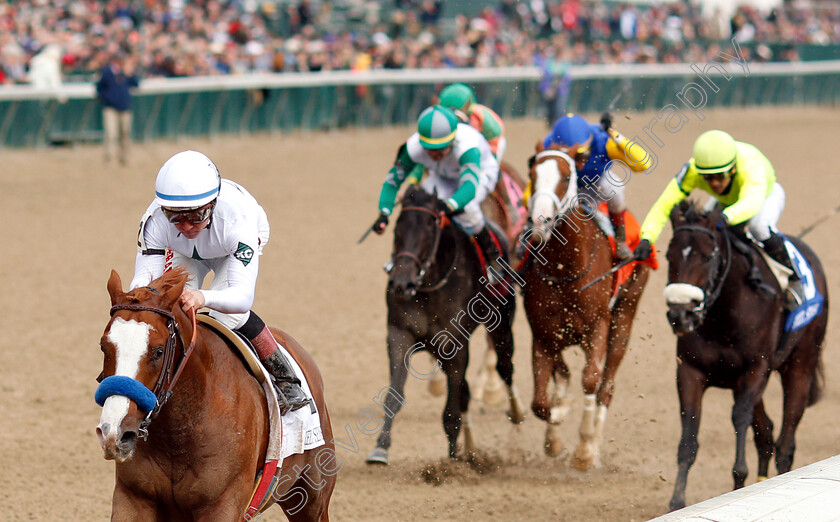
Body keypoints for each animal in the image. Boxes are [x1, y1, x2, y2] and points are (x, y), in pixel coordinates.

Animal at [96, 268, 338, 520]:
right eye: (103, 346)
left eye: (158, 351)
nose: (114, 433)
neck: (178, 435)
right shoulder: (133, 498)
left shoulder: (223, 505)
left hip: (311, 498)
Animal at [366, 185, 524, 462]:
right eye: (398, 227)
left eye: (430, 228)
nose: (401, 283)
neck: (430, 285)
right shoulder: (399, 334)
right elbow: (394, 395)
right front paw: (380, 448)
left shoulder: (455, 346)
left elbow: (452, 413)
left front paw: (452, 462)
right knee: (466, 392)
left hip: (502, 323)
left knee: (505, 367)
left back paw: (516, 414)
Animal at [520, 142, 648, 468]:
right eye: (532, 174)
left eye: (566, 177)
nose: (540, 221)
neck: (564, 268)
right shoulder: (542, 332)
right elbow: (540, 401)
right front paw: (556, 428)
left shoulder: (597, 326)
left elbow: (591, 379)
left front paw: (584, 451)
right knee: (563, 374)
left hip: (624, 316)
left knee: (607, 386)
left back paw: (595, 447)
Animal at [664, 201, 832, 510]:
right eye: (670, 255)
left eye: (708, 256)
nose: (680, 315)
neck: (724, 318)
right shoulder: (690, 372)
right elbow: (688, 439)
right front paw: (677, 501)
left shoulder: (754, 371)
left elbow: (739, 421)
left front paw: (739, 480)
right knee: (765, 433)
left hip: (800, 365)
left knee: (785, 443)